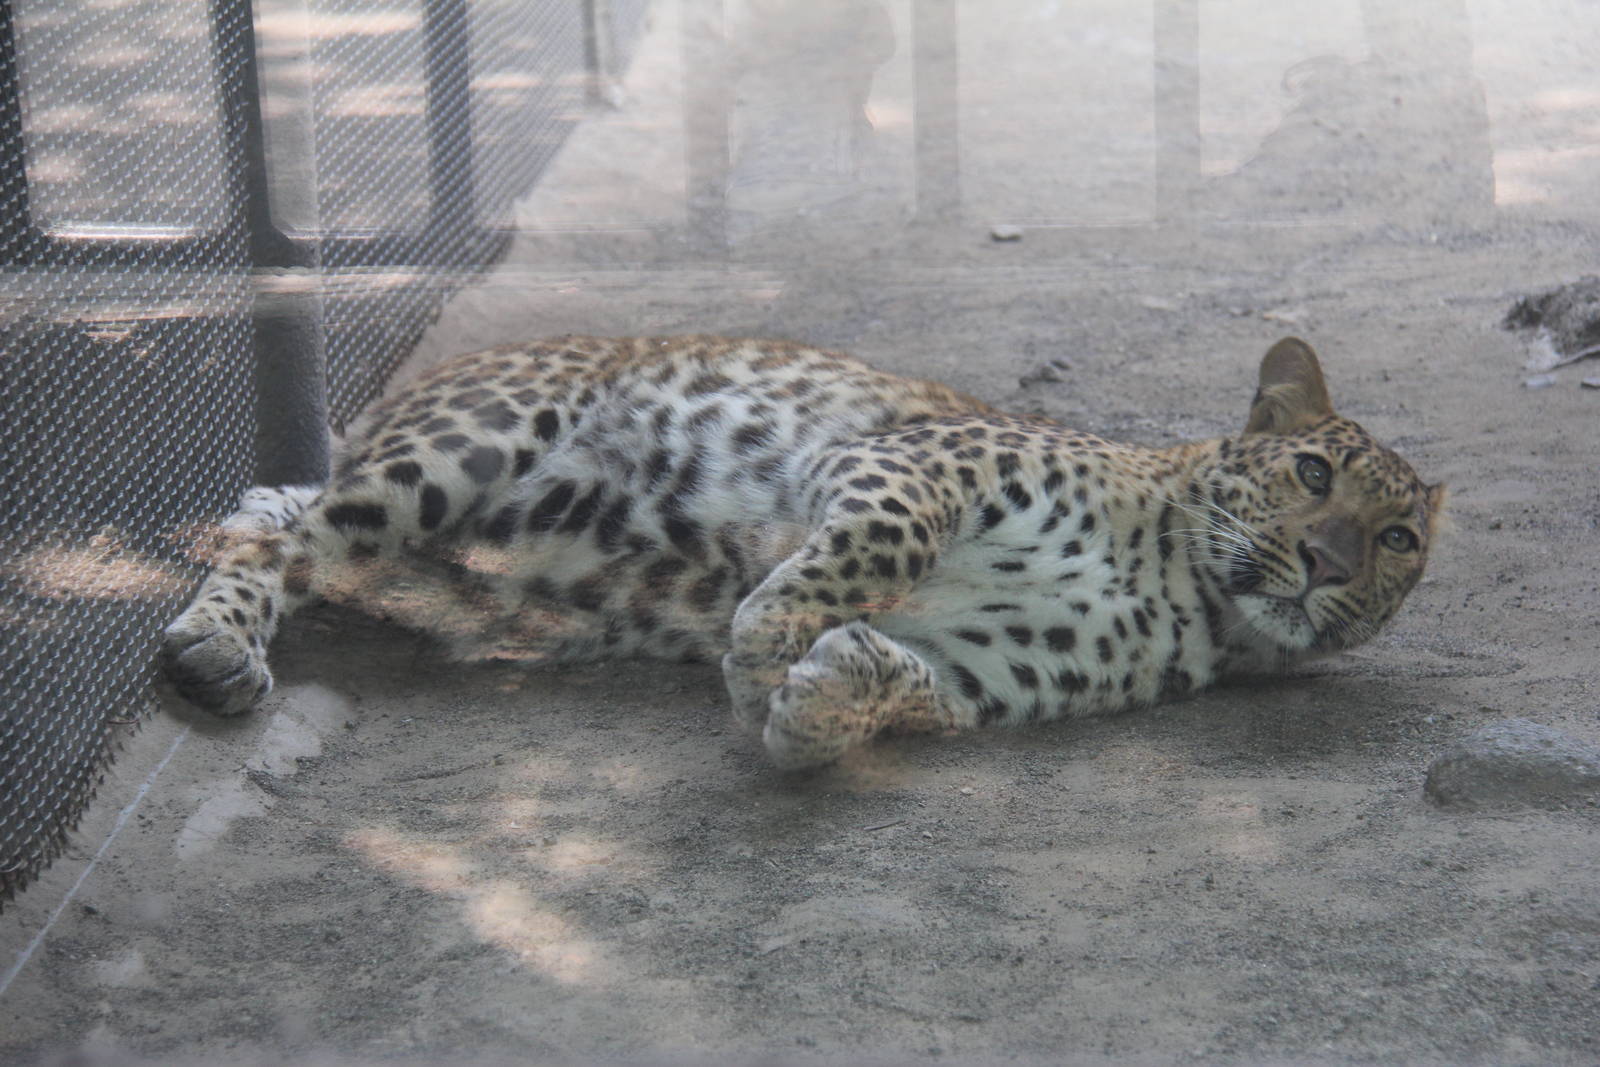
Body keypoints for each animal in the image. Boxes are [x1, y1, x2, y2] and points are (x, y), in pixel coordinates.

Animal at [161, 335, 1445, 769]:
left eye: (1396, 541)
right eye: (1313, 473)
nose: (1331, 565)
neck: (1191, 586)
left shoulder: (994, 667)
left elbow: (905, 684)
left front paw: (816, 704)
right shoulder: (908, 465)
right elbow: (868, 552)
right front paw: (764, 643)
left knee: (283, 517)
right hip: (458, 449)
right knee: (269, 538)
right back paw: (214, 653)